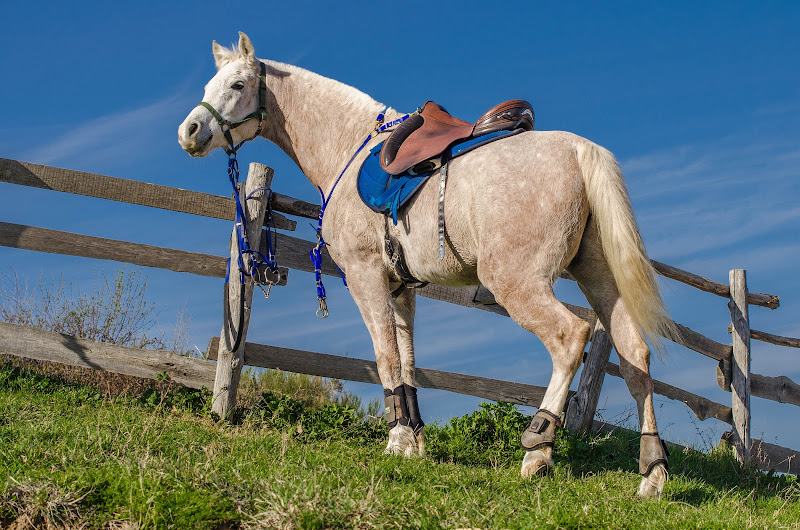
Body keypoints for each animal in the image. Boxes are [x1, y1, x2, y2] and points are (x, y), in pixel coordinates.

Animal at [178, 32, 672, 496]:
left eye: (238, 84)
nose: (190, 130)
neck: (348, 148)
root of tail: (579, 150)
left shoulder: (365, 276)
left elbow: (385, 356)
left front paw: (397, 439)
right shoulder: (401, 288)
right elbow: (407, 360)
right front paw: (414, 441)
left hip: (518, 284)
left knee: (571, 338)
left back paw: (538, 449)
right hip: (599, 278)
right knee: (635, 356)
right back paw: (652, 473)